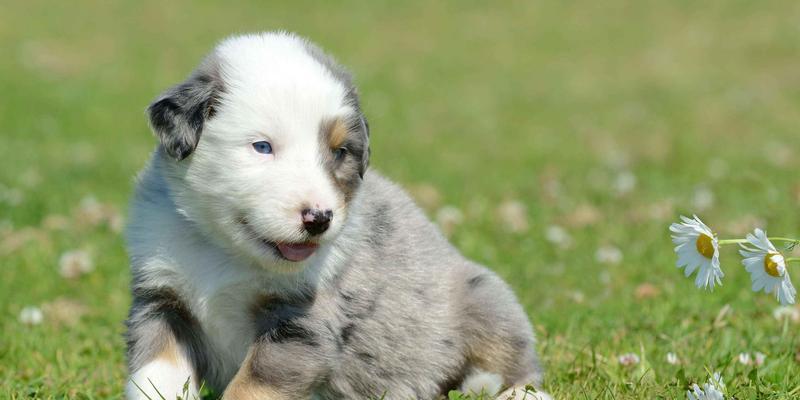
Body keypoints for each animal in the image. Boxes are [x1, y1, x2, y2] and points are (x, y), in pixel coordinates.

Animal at [125, 32, 552, 400]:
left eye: (339, 152)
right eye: (262, 147)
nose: (318, 218)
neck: (223, 251)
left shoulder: (302, 323)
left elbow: (251, 386)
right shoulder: (162, 301)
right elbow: (154, 375)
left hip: (485, 296)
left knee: (515, 366)